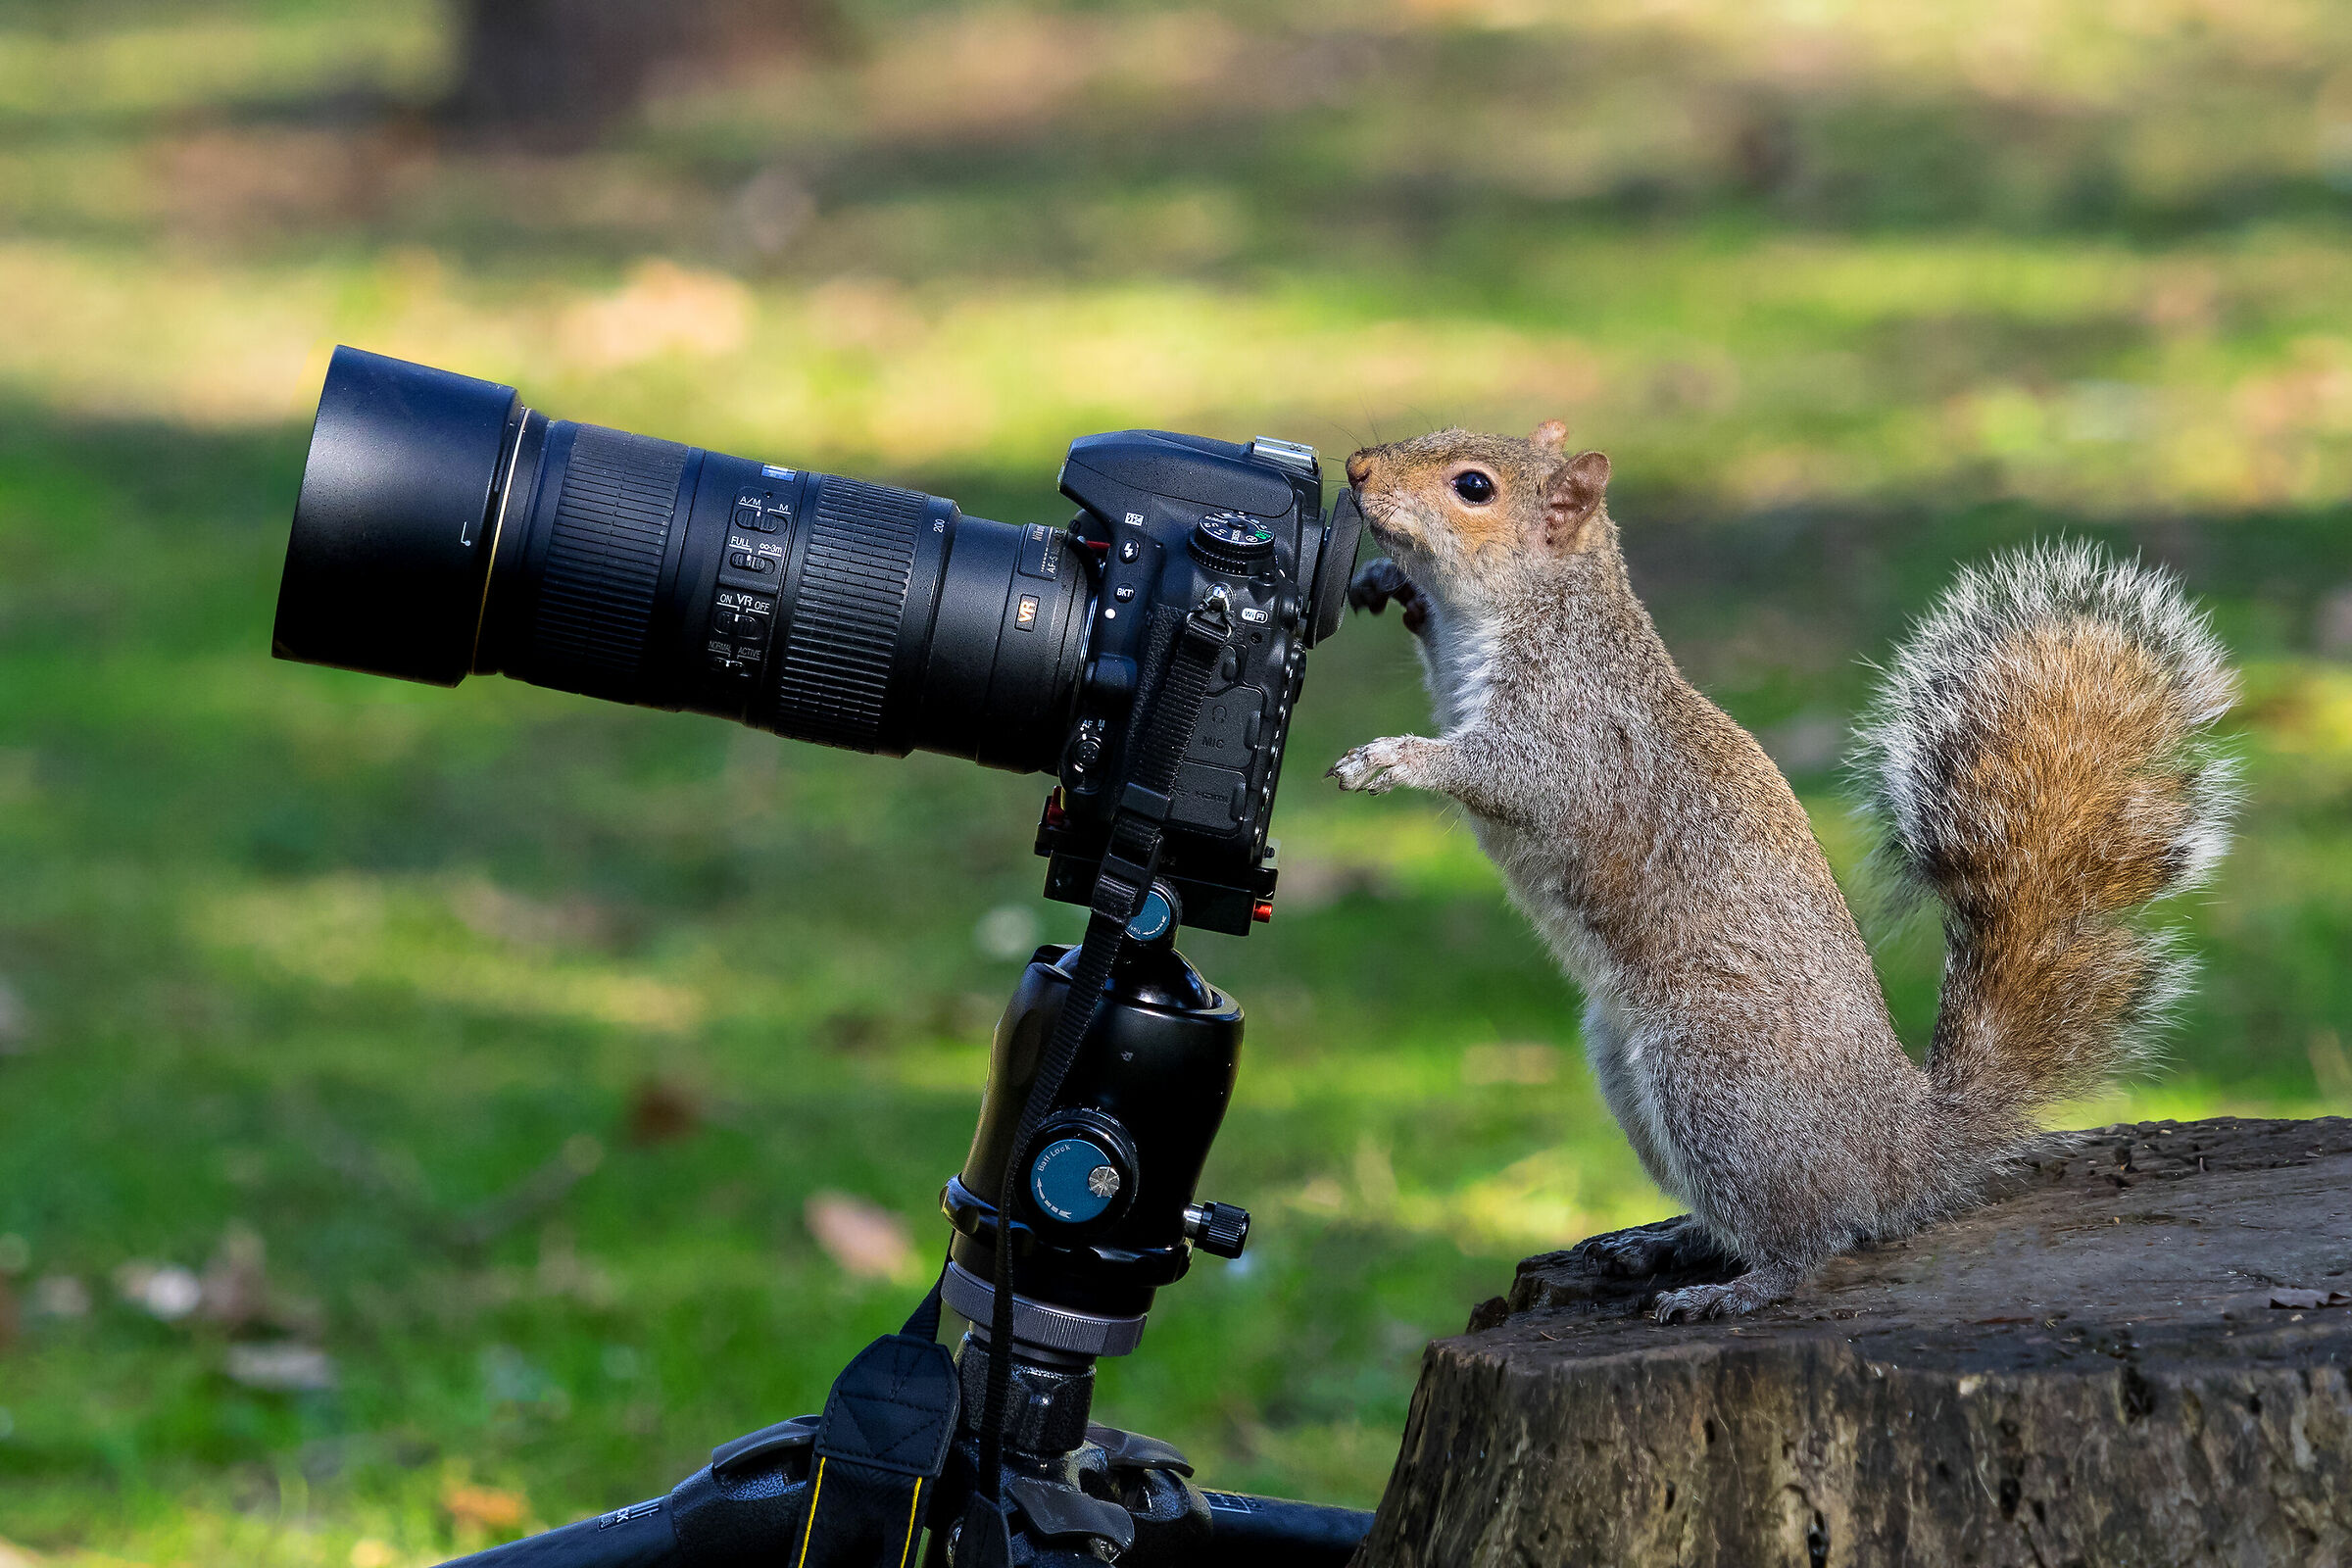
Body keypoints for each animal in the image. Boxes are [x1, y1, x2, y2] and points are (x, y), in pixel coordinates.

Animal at [1330, 420, 2239, 1321]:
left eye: (1473, 487)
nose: (1356, 468)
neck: (1536, 612)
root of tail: (1901, 1149)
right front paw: (1386, 585)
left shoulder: (1575, 732)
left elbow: (1505, 773)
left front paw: (1394, 758)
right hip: (1631, 1070)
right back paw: (1665, 1240)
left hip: (1714, 1075)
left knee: (1811, 1235)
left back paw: (1732, 1288)